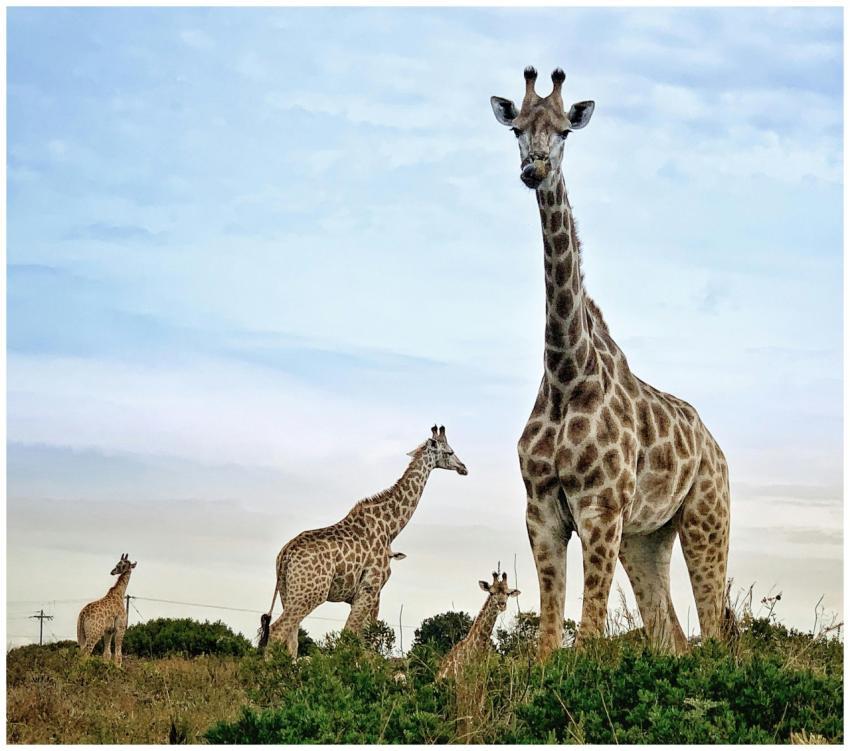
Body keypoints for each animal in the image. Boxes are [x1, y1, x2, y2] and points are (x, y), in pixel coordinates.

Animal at [259, 425, 467, 658]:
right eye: (450, 451)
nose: (463, 468)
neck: (390, 527)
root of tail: (285, 555)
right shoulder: (370, 590)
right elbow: (353, 640)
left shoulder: (366, 595)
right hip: (310, 593)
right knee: (277, 631)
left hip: (289, 593)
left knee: (291, 641)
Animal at [490, 67, 731, 660]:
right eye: (516, 130)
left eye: (565, 131)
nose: (534, 169)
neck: (565, 374)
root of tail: (717, 449)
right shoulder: (542, 510)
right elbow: (548, 640)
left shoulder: (600, 509)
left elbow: (590, 635)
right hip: (646, 537)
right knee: (672, 636)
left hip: (705, 519)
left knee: (714, 630)